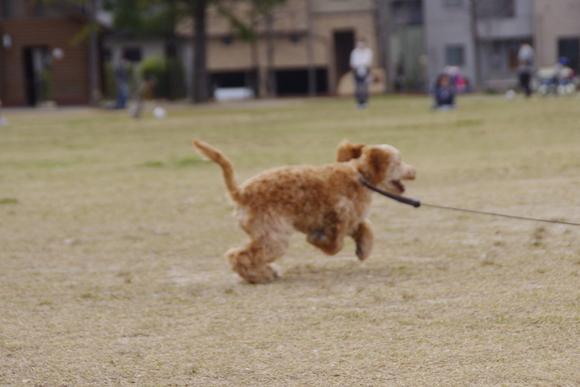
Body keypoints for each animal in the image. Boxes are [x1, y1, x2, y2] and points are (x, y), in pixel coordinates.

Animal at [195, 140, 416, 284]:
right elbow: (335, 245)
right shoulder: (338, 214)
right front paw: (317, 240)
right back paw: (262, 276)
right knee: (237, 256)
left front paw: (363, 249)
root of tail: (240, 192)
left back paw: (267, 271)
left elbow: (366, 228)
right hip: (275, 236)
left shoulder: (351, 220)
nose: (414, 170)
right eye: (399, 161)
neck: (360, 175)